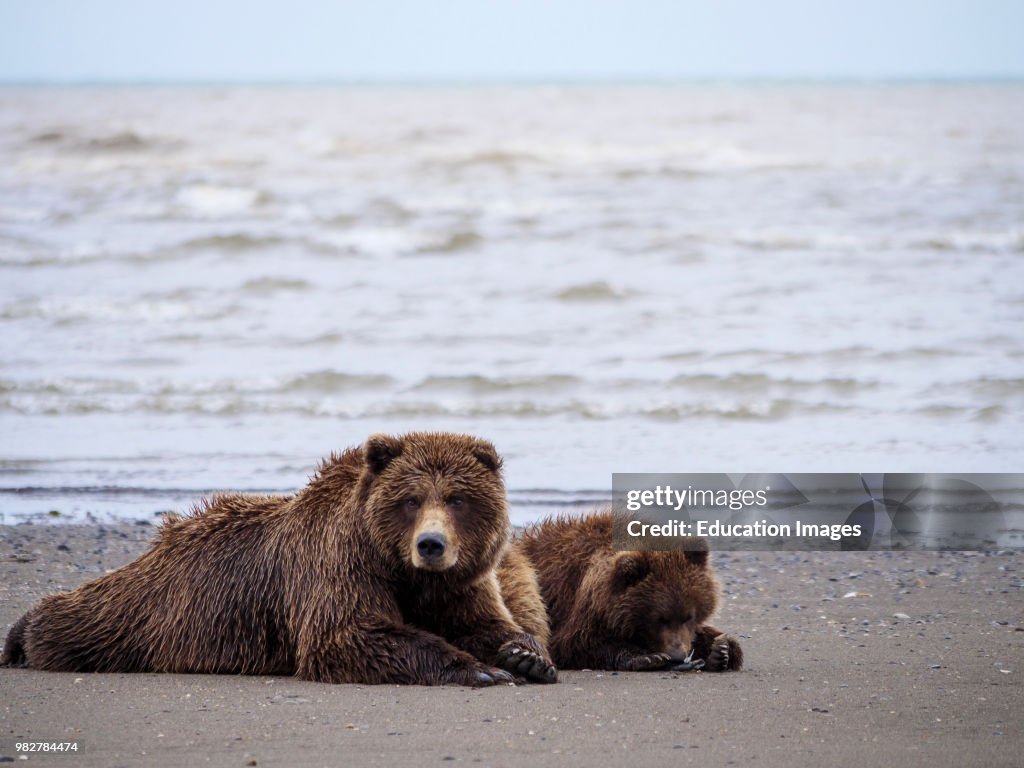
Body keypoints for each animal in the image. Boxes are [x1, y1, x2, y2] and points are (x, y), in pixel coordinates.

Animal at [2, 430, 552, 688]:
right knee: (83, 621)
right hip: (154, 607)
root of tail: (162, 542)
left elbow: (484, 621)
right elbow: (348, 635)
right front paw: (479, 670)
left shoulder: (458, 582)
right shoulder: (340, 564)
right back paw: (25, 634)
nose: (431, 545)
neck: (401, 570)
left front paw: (523, 656)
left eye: (457, 499)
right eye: (411, 499)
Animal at [499, 518, 741, 671]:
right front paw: (646, 657)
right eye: (659, 618)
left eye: (688, 616)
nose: (677, 655)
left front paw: (721, 651)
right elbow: (578, 643)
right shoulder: (574, 604)